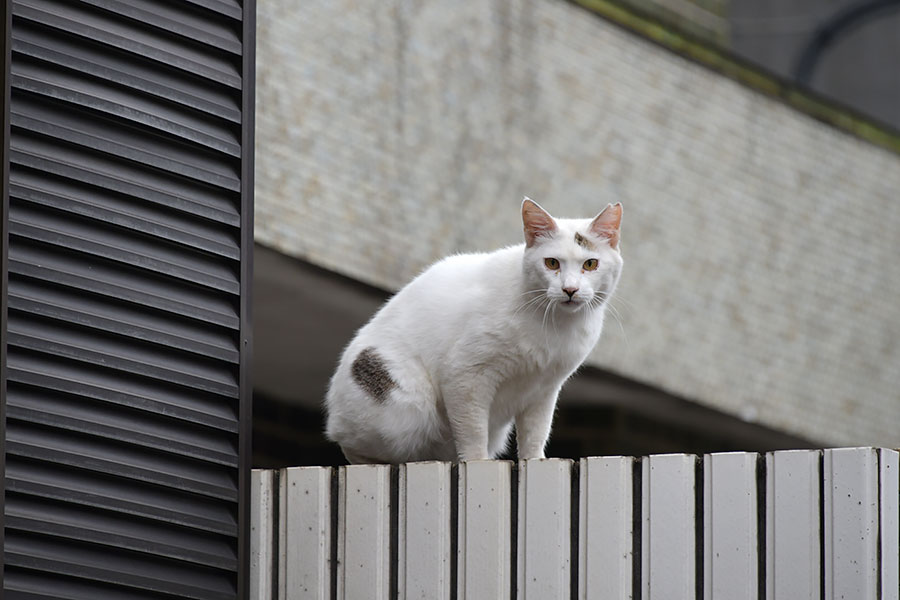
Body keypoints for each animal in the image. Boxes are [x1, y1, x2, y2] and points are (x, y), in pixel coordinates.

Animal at [326, 199, 624, 462]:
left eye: (590, 264)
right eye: (552, 263)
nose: (570, 289)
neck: (556, 325)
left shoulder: (545, 389)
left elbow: (535, 432)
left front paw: (536, 459)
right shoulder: (465, 375)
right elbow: (472, 430)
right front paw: (477, 462)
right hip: (403, 409)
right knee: (356, 449)